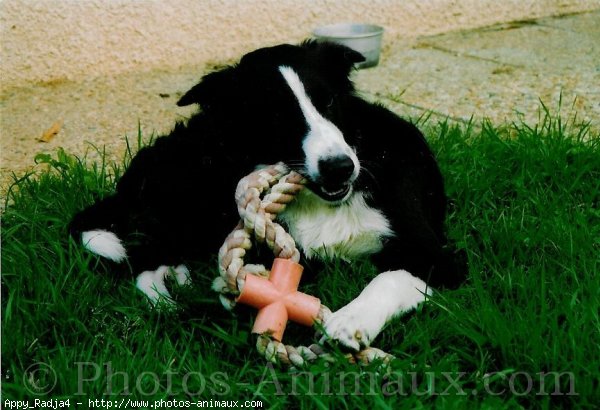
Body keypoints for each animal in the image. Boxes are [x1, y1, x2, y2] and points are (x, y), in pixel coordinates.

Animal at [69, 40, 464, 350]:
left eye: (329, 102)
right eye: (276, 115)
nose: (339, 167)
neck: (323, 201)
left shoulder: (435, 253)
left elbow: (389, 276)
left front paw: (351, 320)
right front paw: (245, 285)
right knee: (144, 256)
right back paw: (167, 299)